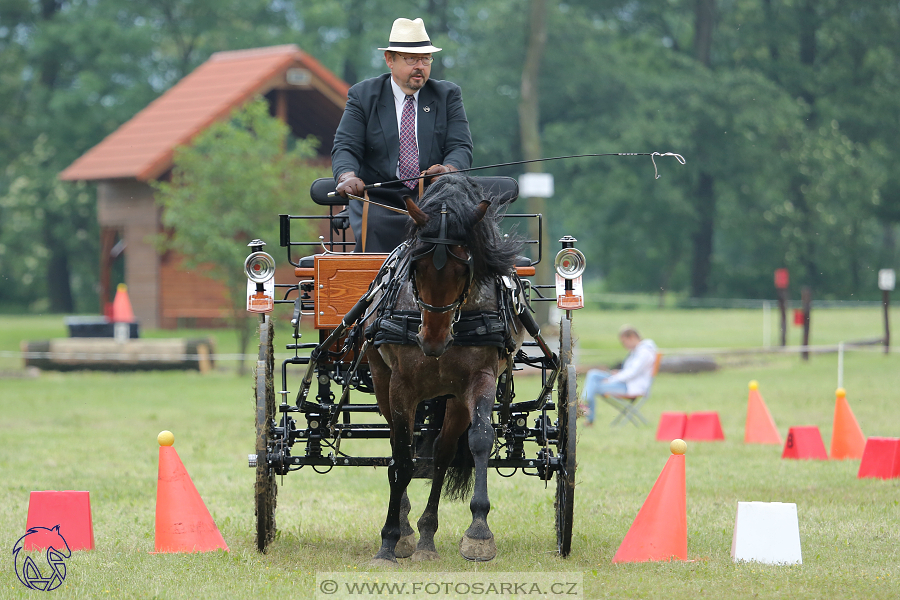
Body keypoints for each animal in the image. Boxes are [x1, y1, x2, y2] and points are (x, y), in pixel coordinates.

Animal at [362, 175, 524, 568]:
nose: (432, 340)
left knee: (442, 455)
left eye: (465, 267)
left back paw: (426, 537)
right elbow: (403, 460)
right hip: (382, 380)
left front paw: (479, 532)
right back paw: (407, 529)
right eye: (415, 265)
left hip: (453, 399)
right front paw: (389, 540)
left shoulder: (479, 380)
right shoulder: (402, 386)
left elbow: (480, 439)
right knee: (397, 447)